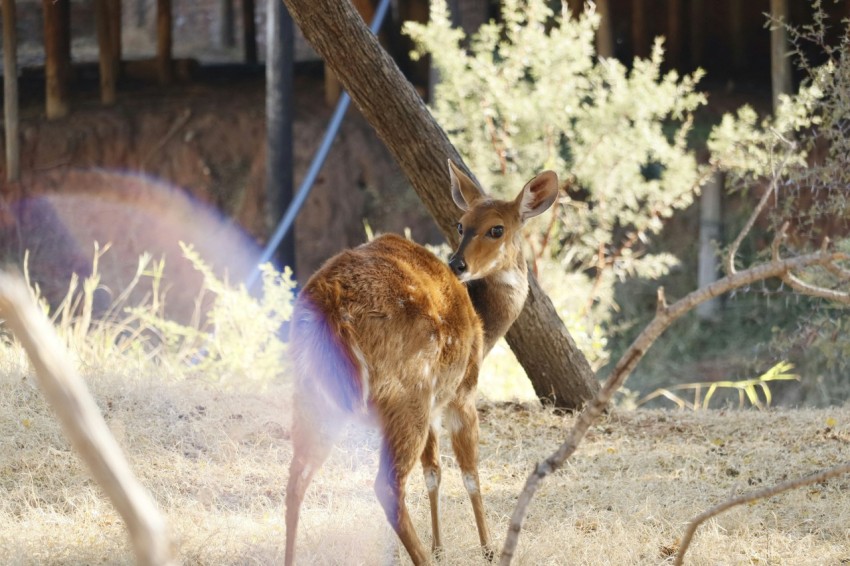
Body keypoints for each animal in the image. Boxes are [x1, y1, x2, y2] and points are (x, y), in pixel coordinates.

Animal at [284, 161, 560, 566]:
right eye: (461, 224)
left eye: (496, 228)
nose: (458, 264)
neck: (483, 323)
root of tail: (330, 303)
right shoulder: (461, 394)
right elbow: (470, 473)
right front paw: (488, 549)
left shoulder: (434, 405)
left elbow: (433, 471)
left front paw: (440, 546)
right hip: (406, 392)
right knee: (387, 485)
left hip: (313, 393)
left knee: (296, 477)